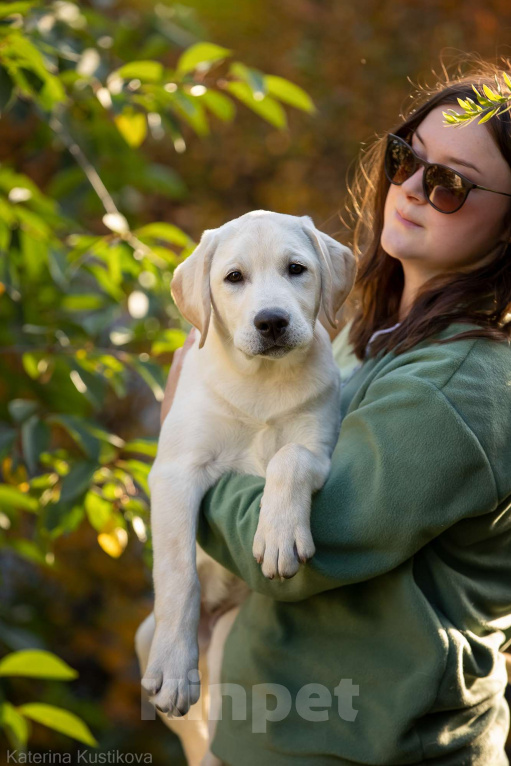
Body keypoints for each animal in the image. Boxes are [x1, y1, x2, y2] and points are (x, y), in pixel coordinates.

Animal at [138, 208, 358, 760]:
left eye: (296, 269)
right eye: (233, 278)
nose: (271, 322)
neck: (262, 379)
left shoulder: (321, 446)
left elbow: (287, 458)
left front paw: (278, 534)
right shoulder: (175, 471)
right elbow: (177, 573)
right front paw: (174, 669)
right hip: (147, 637)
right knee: (196, 733)